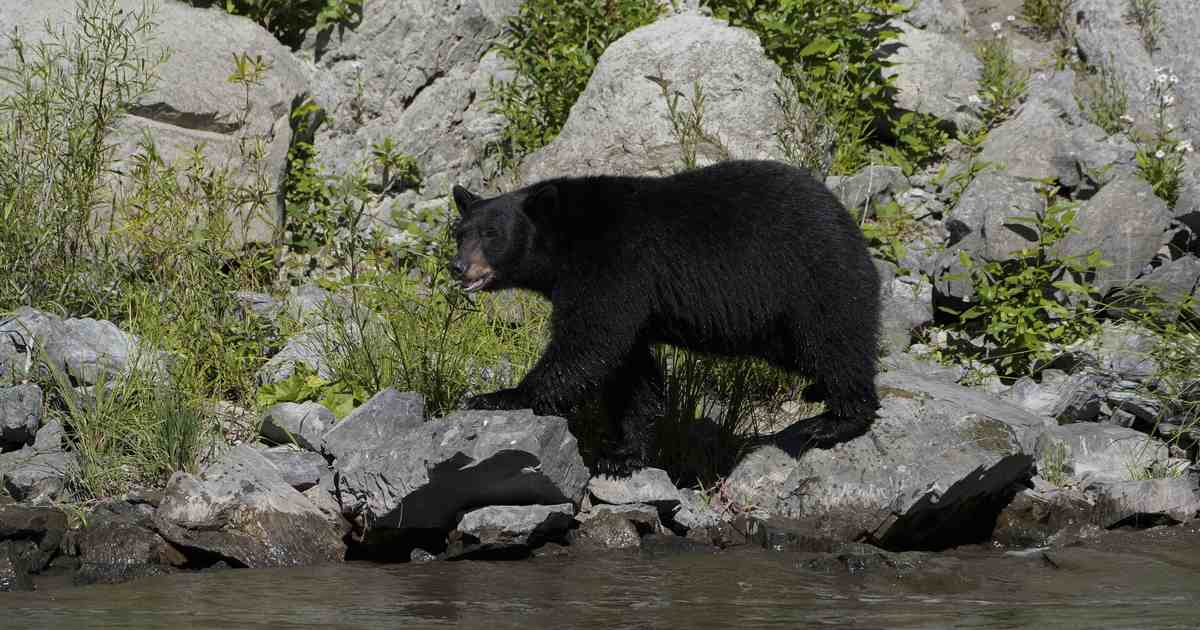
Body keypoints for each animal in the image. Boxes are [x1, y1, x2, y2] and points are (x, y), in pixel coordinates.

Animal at [451, 160, 881, 476]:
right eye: (460, 231)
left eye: (491, 233)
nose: (458, 267)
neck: (565, 240)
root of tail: (845, 218)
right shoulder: (628, 296)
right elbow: (631, 373)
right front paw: (624, 454)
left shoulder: (612, 264)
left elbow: (588, 342)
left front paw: (498, 396)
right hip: (777, 327)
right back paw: (818, 392)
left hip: (811, 277)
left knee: (834, 342)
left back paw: (834, 421)